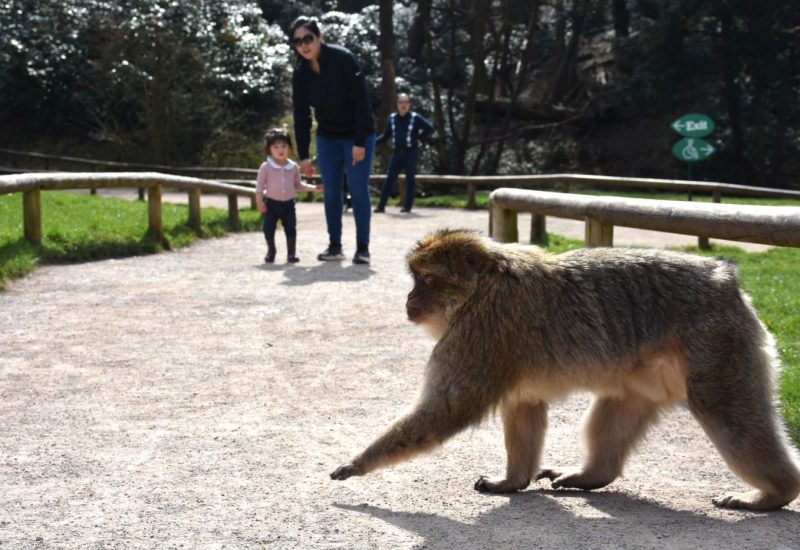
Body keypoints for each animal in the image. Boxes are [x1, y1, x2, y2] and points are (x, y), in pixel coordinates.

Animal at [330, 228, 800, 511]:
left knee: (725, 412)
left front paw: (357, 463)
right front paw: (512, 481)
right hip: (653, 369)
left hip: (718, 344)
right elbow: (523, 405)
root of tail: (724, 277)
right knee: (619, 406)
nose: (409, 300)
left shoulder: (480, 333)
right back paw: (593, 475)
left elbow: (448, 408)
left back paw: (775, 493)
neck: (481, 287)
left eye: (425, 279)